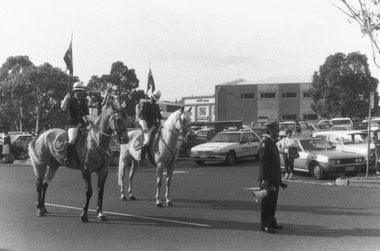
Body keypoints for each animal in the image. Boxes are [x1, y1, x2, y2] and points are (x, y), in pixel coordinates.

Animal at [28, 90, 129, 222]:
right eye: (117, 119)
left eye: (126, 118)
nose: (125, 139)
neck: (98, 141)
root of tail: (41, 135)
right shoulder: (86, 171)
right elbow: (89, 192)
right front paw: (84, 214)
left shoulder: (103, 172)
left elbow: (100, 192)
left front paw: (100, 213)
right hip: (40, 165)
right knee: (39, 185)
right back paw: (39, 209)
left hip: (54, 165)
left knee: (45, 184)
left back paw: (44, 208)